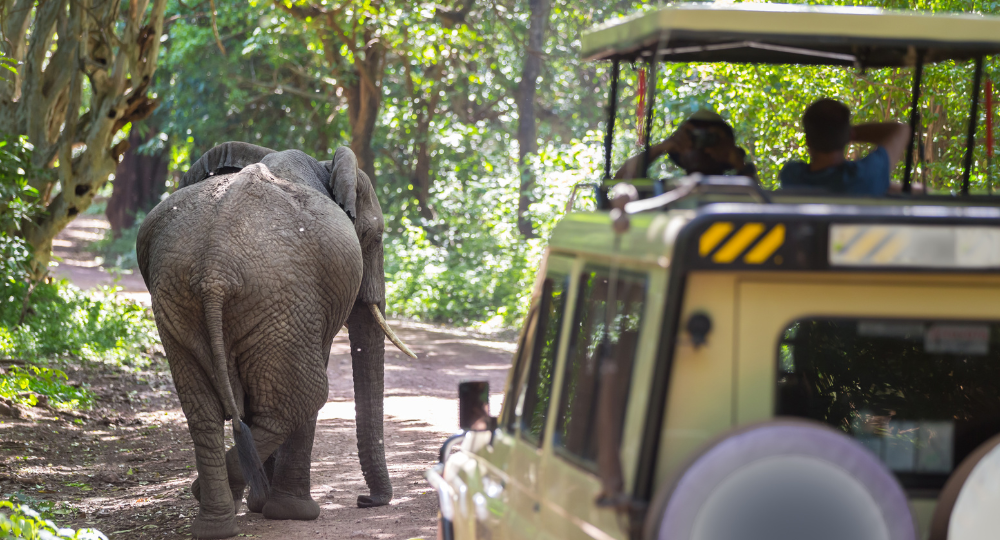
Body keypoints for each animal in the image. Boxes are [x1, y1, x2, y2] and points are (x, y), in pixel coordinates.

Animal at [136, 142, 415, 539]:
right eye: (375, 238)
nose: (365, 501)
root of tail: (214, 270)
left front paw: (261, 507)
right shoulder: (311, 304)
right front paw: (290, 513)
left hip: (178, 300)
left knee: (204, 411)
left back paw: (215, 523)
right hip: (277, 297)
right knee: (303, 398)